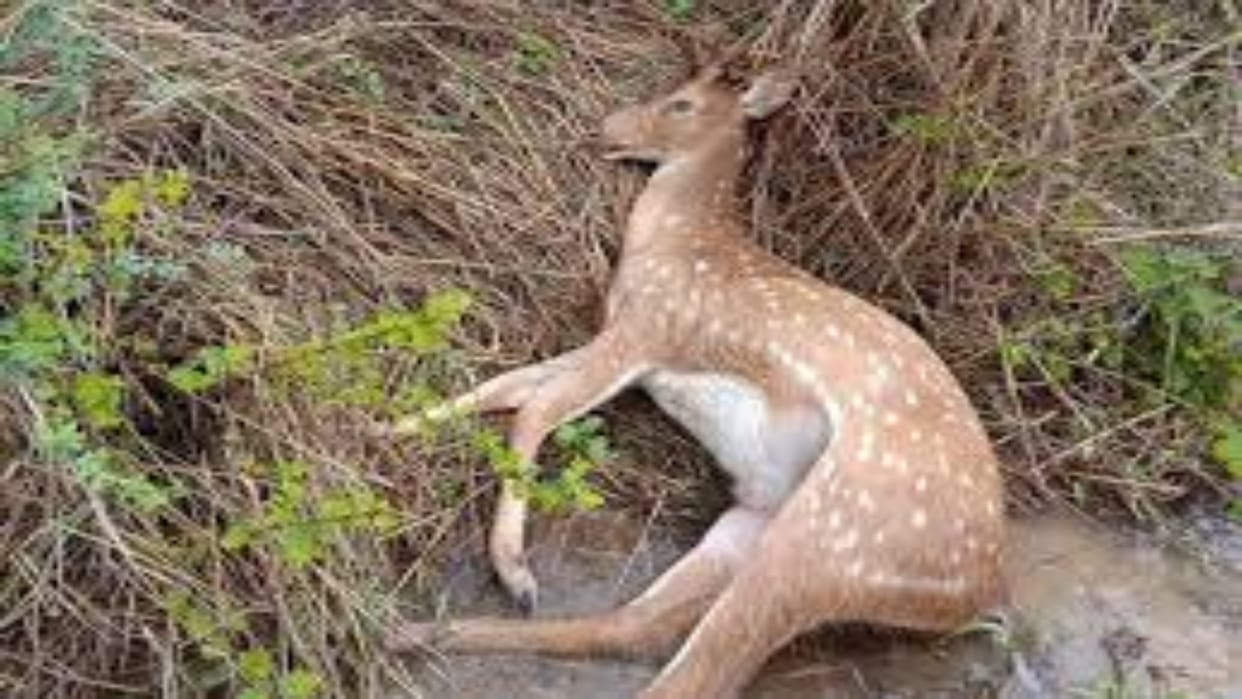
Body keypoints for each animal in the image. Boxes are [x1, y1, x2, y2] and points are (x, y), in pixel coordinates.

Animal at [384, 60, 1007, 699]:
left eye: (681, 103)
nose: (607, 126)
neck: (677, 241)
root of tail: (979, 595)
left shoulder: (652, 329)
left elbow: (538, 408)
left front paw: (514, 568)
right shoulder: (624, 337)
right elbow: (509, 384)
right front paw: (392, 425)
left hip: (839, 539)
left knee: (700, 670)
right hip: (754, 522)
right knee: (637, 625)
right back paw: (413, 634)